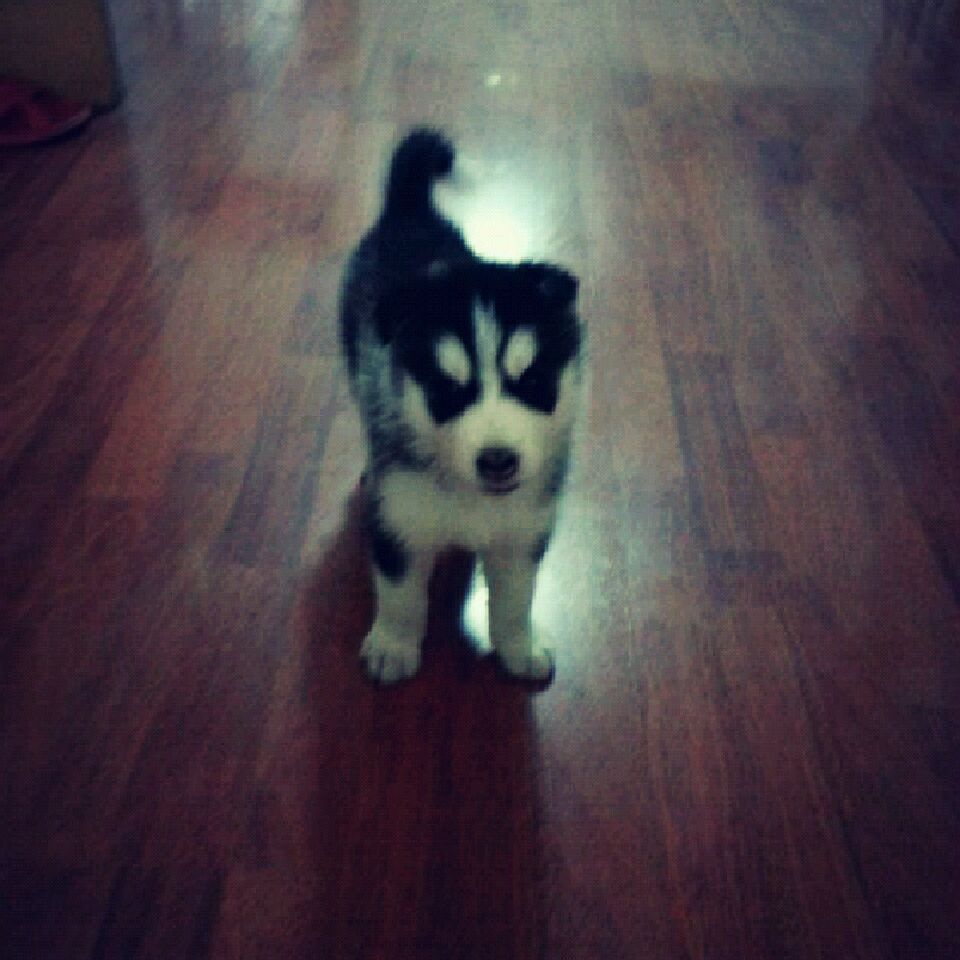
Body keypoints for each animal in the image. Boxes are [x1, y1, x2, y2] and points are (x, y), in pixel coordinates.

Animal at [339, 128, 583, 684]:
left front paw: (520, 646)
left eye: (532, 380)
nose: (498, 460)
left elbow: (515, 599)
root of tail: (410, 209)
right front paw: (393, 645)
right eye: (448, 390)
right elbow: (401, 594)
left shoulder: (524, 530)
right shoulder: (399, 519)